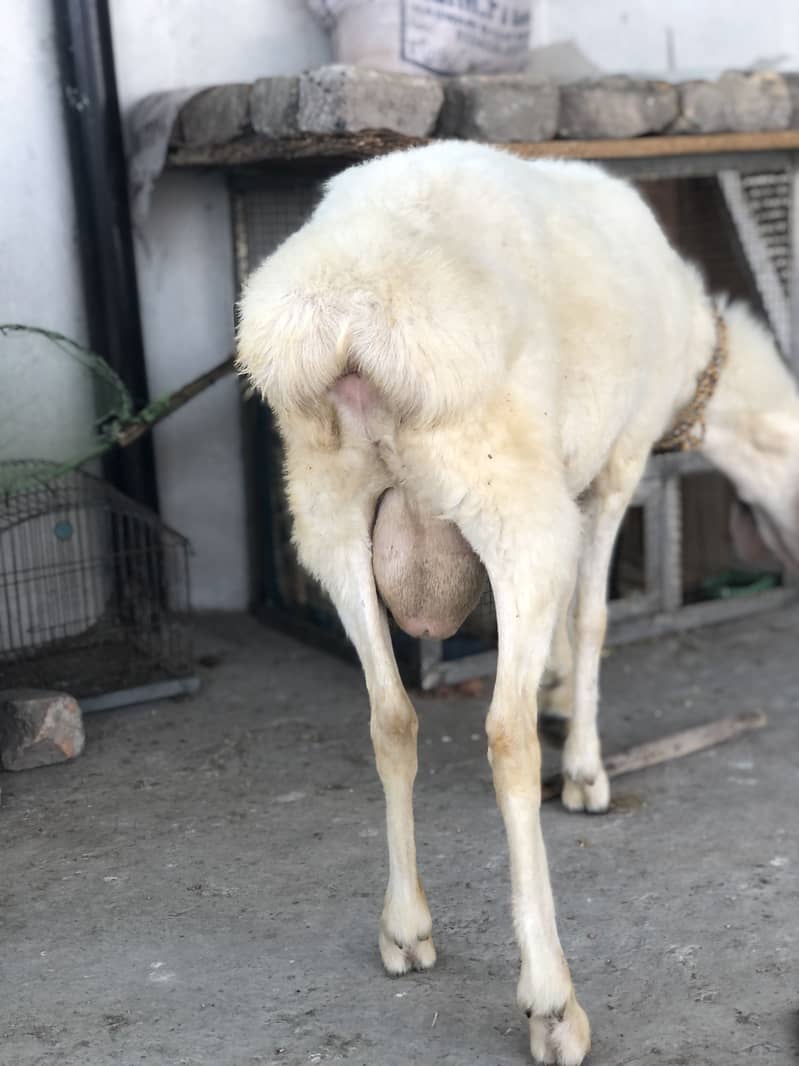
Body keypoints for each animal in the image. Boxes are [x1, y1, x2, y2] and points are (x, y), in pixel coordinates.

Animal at [237, 141, 799, 1065]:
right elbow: (593, 617)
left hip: (328, 510)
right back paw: (550, 998)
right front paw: (585, 764)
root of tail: (348, 319)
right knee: (503, 737)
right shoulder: (615, 465)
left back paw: (406, 928)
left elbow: (567, 624)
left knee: (390, 717)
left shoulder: (571, 475)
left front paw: (560, 690)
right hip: (506, 501)